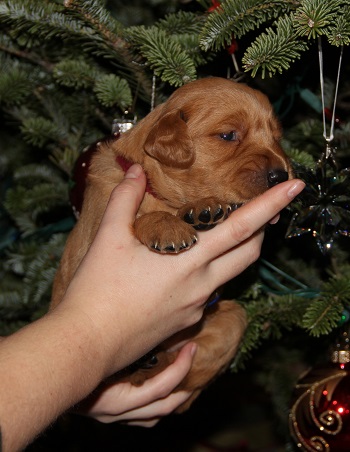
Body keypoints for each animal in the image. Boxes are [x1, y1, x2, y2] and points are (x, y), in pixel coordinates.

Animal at [51, 77, 292, 414]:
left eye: (276, 137)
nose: (281, 175)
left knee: (183, 380)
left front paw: (204, 208)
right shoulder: (95, 232)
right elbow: (143, 215)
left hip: (231, 318)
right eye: (228, 135)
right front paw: (167, 225)